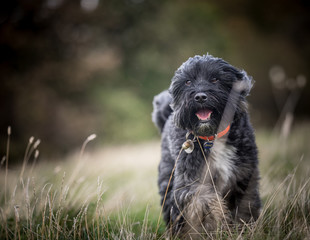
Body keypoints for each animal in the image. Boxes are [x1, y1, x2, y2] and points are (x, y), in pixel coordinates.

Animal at [153, 54, 262, 238]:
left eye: (215, 79)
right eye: (188, 82)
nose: (200, 97)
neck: (213, 136)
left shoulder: (244, 177)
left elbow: (245, 207)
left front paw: (244, 229)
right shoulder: (193, 181)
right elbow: (207, 203)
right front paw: (218, 228)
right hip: (168, 180)